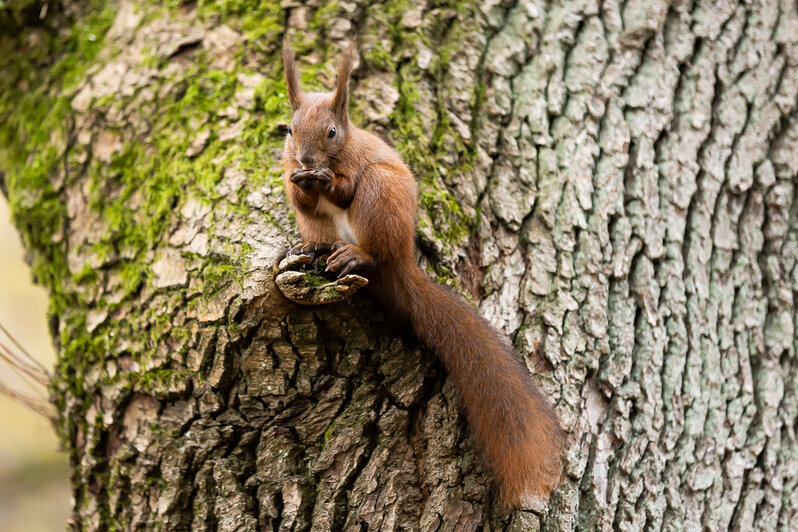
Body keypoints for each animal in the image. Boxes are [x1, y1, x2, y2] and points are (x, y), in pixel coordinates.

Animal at [284, 42, 564, 508]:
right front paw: (300, 182)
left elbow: (343, 188)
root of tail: (401, 260)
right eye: (288, 130)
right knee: (318, 232)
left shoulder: (356, 164)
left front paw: (322, 180)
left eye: (332, 133)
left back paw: (356, 256)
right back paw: (313, 249)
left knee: (372, 249)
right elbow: (299, 199)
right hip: (321, 228)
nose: (305, 160)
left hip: (380, 196)